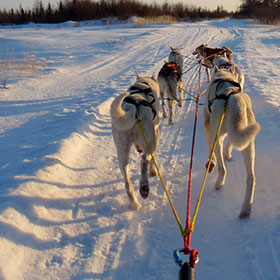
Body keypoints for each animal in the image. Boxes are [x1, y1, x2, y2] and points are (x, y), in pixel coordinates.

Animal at [111, 72, 161, 210]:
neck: (143, 84)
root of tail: (133, 109)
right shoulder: (155, 133)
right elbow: (152, 159)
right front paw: (153, 171)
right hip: (149, 142)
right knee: (144, 160)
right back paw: (144, 186)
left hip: (122, 152)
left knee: (128, 184)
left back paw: (134, 204)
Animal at [203, 66, 260, 219]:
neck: (223, 76)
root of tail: (235, 99)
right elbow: (230, 144)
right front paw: (228, 154)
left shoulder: (209, 125)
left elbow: (210, 148)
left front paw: (211, 162)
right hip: (248, 145)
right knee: (251, 179)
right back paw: (246, 209)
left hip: (217, 136)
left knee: (222, 168)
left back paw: (219, 183)